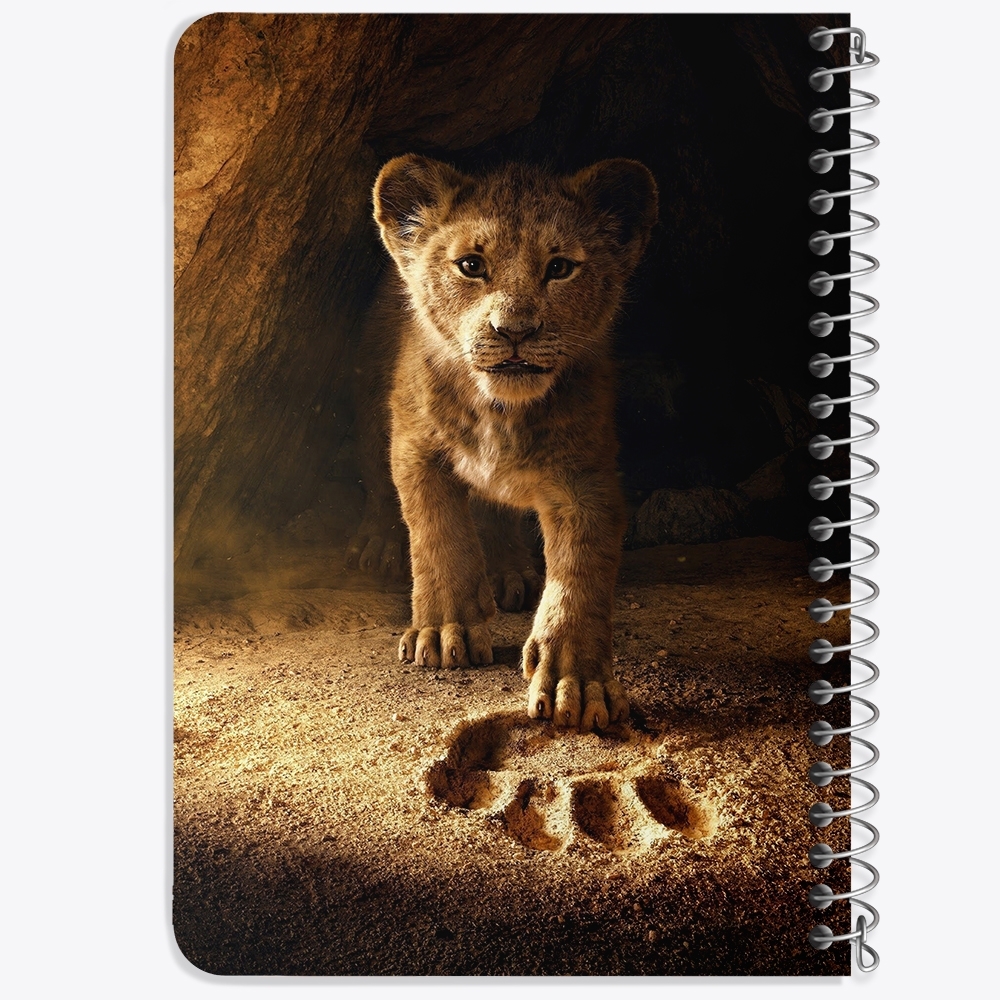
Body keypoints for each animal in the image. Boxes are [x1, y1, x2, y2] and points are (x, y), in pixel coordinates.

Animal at [350, 154, 658, 731]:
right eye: (471, 265)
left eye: (560, 268)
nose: (514, 330)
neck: (501, 410)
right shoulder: (415, 447)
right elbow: (438, 535)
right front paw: (444, 632)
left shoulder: (586, 477)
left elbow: (580, 572)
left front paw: (576, 682)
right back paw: (379, 544)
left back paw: (509, 571)